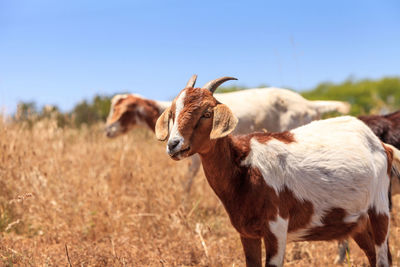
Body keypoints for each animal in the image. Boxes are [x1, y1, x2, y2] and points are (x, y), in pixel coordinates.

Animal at [155, 76, 396, 266]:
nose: (174, 144)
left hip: (379, 210)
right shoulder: (247, 232)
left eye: (206, 113)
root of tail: (381, 145)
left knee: (383, 258)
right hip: (358, 223)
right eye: (173, 113)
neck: (245, 167)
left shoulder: (277, 228)